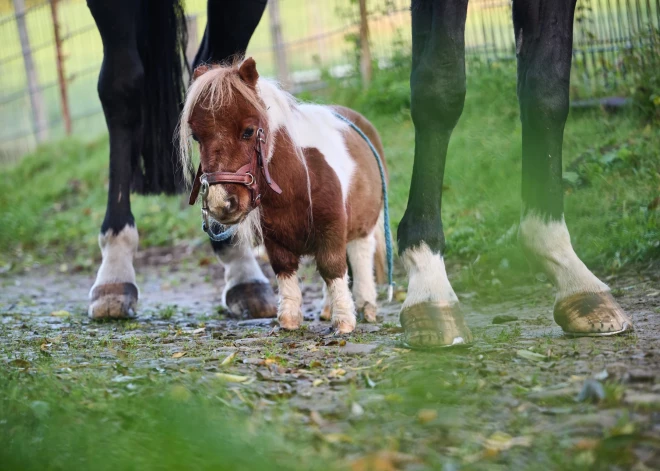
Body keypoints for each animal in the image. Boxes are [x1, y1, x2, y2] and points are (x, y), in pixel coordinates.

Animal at [179, 60, 386, 336]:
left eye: (248, 131)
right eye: (196, 136)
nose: (221, 203)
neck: (297, 180)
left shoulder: (332, 228)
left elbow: (332, 268)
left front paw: (344, 321)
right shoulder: (275, 238)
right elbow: (285, 269)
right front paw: (289, 320)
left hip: (364, 226)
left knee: (361, 256)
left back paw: (366, 305)